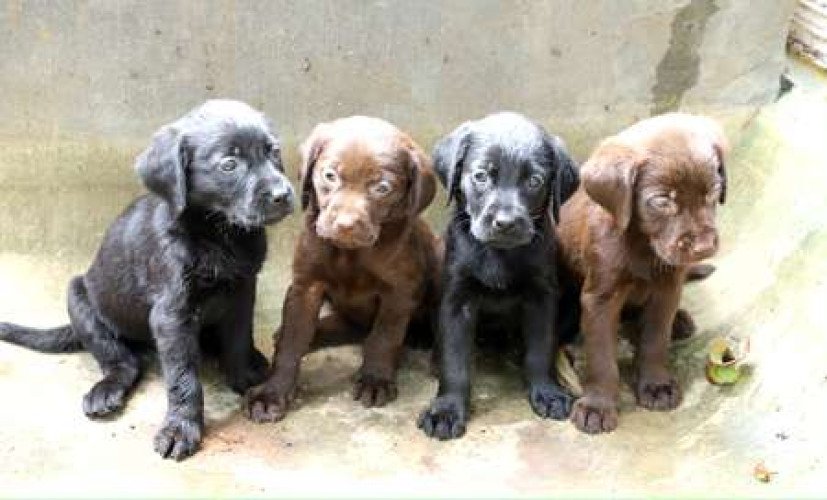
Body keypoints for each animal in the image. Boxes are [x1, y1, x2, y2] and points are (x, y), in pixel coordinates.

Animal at [0, 99, 298, 458]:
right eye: (229, 164)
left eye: (274, 151)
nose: (283, 194)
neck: (217, 233)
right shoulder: (171, 313)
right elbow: (184, 378)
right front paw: (181, 428)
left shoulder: (242, 290)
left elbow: (238, 339)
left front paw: (247, 380)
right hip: (78, 298)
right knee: (120, 361)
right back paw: (106, 390)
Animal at [244, 116, 440, 422]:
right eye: (330, 176)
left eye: (382, 187)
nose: (345, 225)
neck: (350, 253)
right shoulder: (305, 287)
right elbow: (293, 340)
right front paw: (272, 393)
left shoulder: (398, 291)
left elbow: (384, 337)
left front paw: (375, 380)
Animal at [418, 111, 580, 440]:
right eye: (480, 175)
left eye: (534, 181)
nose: (505, 223)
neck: (498, 254)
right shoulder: (456, 300)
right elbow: (455, 359)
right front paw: (446, 409)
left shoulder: (542, 296)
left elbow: (540, 348)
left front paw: (547, 391)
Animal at [560, 112, 728, 434]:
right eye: (663, 201)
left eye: (713, 191)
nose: (703, 247)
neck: (641, 246)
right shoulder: (600, 297)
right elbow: (601, 355)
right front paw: (597, 405)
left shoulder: (667, 289)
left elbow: (655, 340)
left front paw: (656, 385)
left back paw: (680, 321)